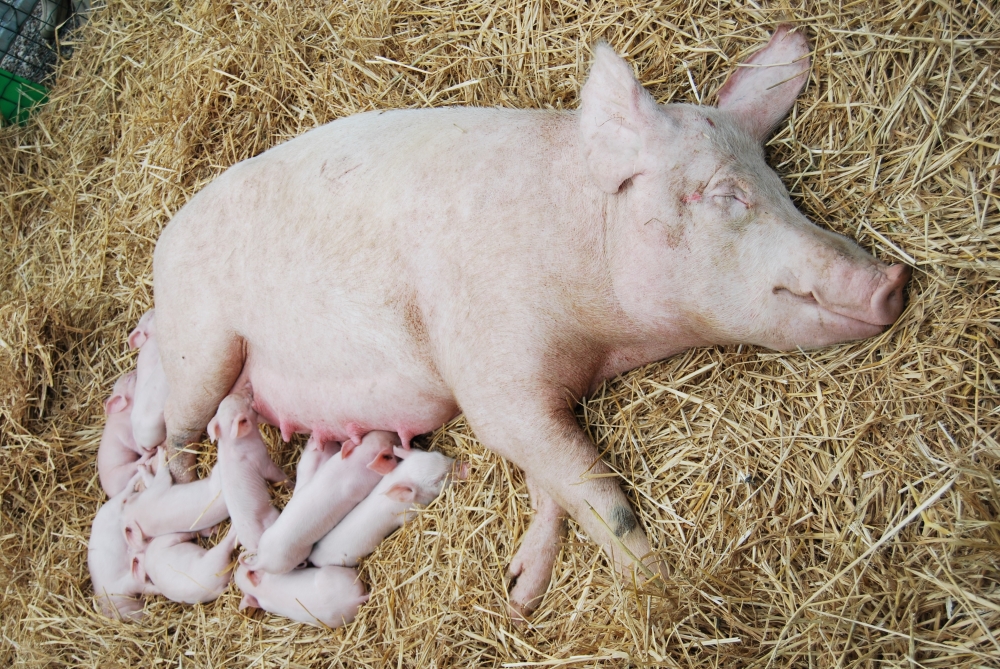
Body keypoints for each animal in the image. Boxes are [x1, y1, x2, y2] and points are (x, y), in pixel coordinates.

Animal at [152, 28, 912, 620]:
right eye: (726, 193)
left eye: (783, 188)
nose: (895, 281)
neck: (604, 336)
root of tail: (165, 235)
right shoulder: (494, 378)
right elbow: (595, 489)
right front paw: (663, 593)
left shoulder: (544, 394)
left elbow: (553, 481)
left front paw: (519, 593)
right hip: (199, 343)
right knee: (172, 440)